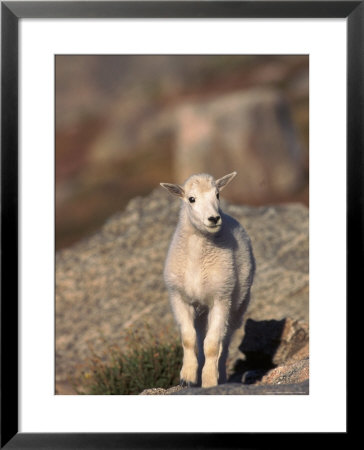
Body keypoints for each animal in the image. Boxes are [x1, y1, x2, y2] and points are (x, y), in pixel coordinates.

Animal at [161, 171, 255, 388]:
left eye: (218, 195)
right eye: (191, 199)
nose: (213, 219)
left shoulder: (221, 298)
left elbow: (213, 345)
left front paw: (210, 380)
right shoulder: (179, 298)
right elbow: (189, 339)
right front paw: (187, 377)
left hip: (237, 305)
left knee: (224, 342)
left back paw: (220, 375)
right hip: (201, 310)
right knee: (200, 337)